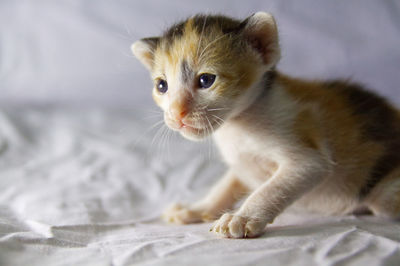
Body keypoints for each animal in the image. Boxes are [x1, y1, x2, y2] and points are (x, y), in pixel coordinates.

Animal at [132, 12, 400, 238]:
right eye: (162, 86)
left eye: (206, 80)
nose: (176, 113)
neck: (238, 124)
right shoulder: (241, 163)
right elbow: (224, 187)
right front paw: (196, 209)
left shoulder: (306, 155)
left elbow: (272, 188)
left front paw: (241, 218)